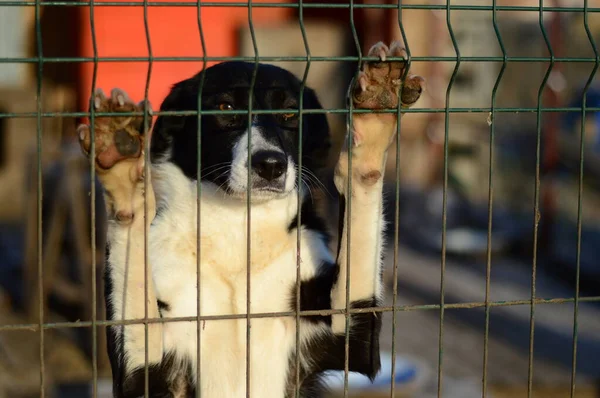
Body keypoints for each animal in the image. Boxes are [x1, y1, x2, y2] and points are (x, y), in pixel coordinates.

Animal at [77, 41, 424, 398]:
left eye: (289, 113)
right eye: (225, 106)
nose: (270, 165)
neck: (239, 231)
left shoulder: (353, 341)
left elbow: (363, 191)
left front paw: (375, 114)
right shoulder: (139, 372)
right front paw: (124, 174)